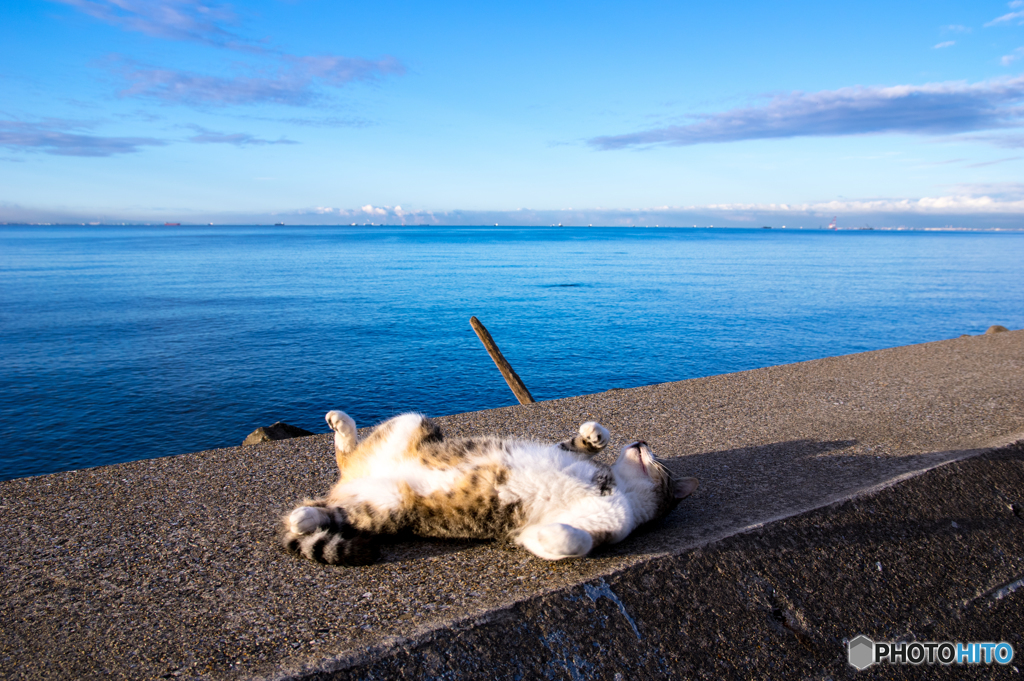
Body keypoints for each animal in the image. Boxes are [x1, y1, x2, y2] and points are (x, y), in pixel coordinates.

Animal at [280, 409, 696, 561]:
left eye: (659, 461)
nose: (642, 441)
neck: (612, 485)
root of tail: (349, 482)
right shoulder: (564, 451)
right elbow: (582, 442)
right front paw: (595, 434)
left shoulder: (606, 526)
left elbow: (574, 541)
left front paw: (548, 536)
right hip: (412, 422)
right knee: (345, 456)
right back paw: (341, 425)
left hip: (385, 509)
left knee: (333, 511)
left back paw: (302, 517)